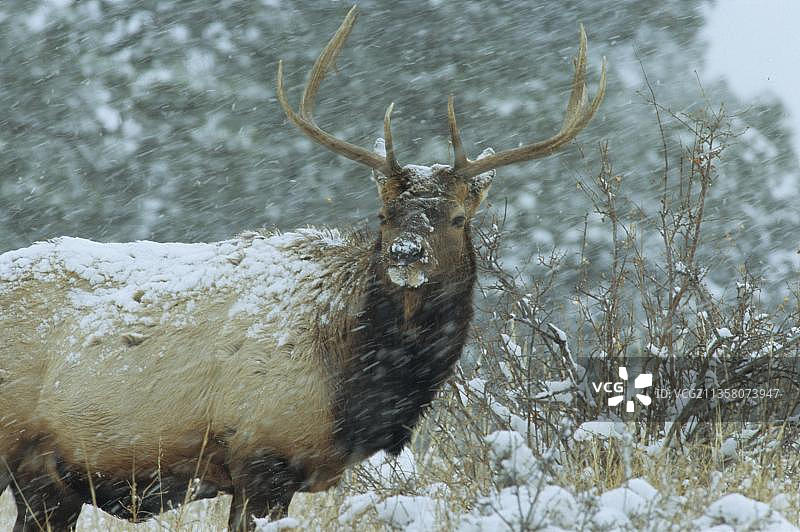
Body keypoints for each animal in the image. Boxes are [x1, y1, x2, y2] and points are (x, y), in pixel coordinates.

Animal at [0, 5, 605, 531]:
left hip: (46, 478)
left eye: (457, 218)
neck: (353, 383)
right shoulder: (262, 451)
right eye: (383, 214)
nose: (406, 253)